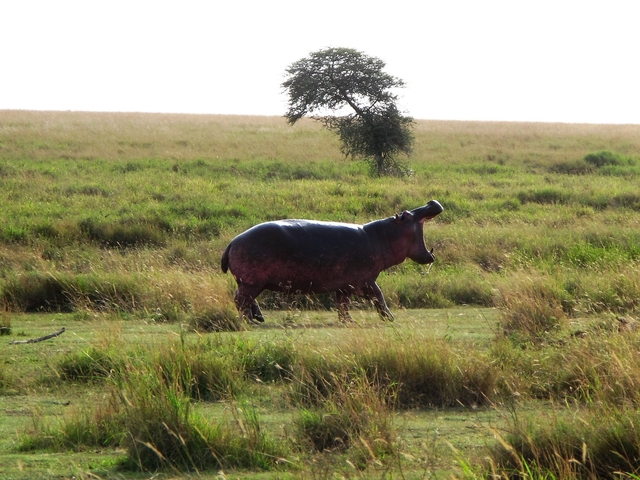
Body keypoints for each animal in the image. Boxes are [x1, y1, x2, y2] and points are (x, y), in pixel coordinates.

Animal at [221, 200, 443, 324]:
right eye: (406, 214)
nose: (431, 201)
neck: (384, 236)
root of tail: (233, 241)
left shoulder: (345, 285)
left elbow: (343, 304)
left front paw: (349, 322)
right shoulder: (365, 280)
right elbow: (378, 296)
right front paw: (390, 318)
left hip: (250, 282)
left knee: (248, 299)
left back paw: (259, 318)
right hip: (252, 282)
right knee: (241, 300)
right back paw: (250, 321)